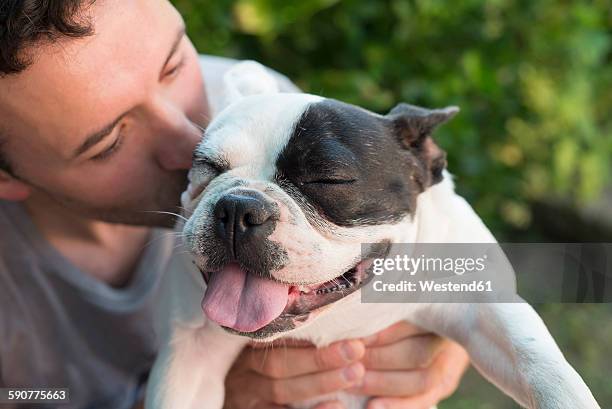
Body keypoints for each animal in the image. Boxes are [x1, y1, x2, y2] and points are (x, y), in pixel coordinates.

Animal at [146, 61, 600, 408]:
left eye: (328, 179)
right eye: (208, 168)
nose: (239, 206)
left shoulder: (484, 305)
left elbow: (539, 363)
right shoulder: (191, 353)